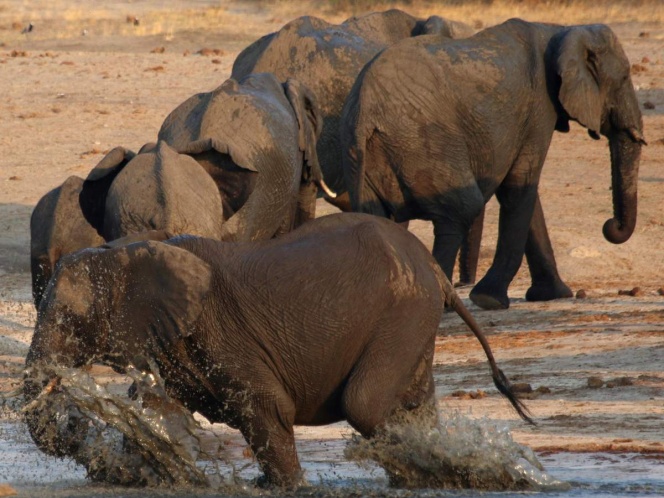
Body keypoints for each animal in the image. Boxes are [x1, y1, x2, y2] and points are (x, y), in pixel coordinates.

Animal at [23, 213, 528, 486]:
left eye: (69, 321)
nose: (73, 418)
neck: (127, 250)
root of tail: (435, 269)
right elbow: (160, 412)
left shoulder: (221, 335)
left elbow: (268, 408)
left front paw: (287, 486)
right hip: (413, 320)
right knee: (415, 402)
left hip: (402, 312)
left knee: (364, 404)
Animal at [340, 20, 644, 312]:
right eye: (624, 78)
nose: (610, 226)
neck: (561, 30)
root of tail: (365, 109)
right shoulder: (539, 107)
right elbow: (520, 186)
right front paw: (490, 300)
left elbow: (525, 192)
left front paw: (553, 294)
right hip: (423, 141)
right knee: (461, 210)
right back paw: (442, 302)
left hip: (366, 153)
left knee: (379, 218)